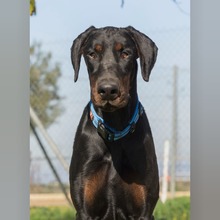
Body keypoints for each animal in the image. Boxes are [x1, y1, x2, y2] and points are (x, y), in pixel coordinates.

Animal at [69, 26, 159, 220]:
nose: (108, 90)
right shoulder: (84, 209)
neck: (114, 130)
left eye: (126, 53)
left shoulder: (144, 210)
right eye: (92, 53)